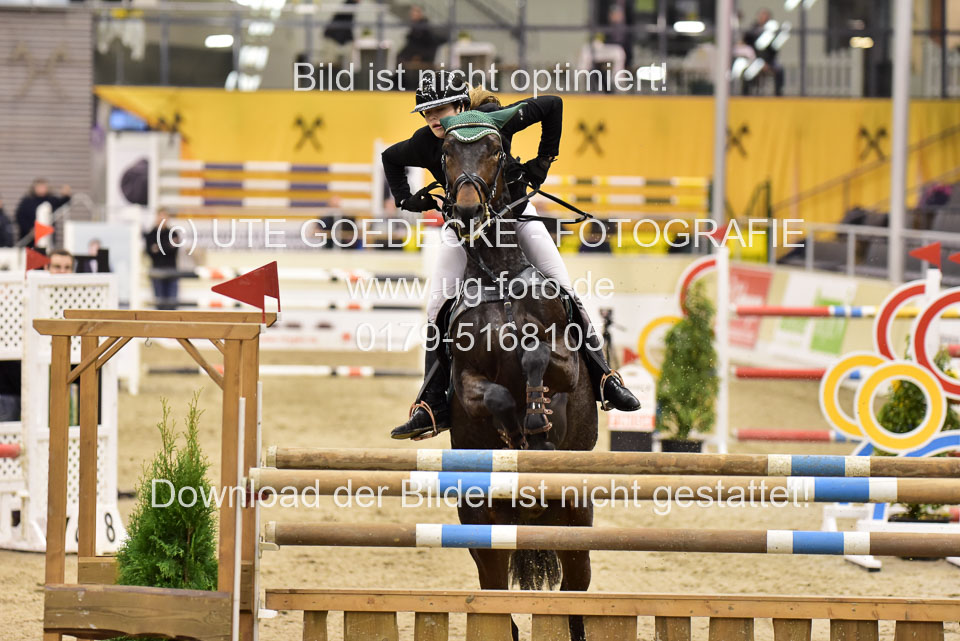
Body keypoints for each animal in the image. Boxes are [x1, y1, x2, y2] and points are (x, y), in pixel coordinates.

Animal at [439, 110, 599, 641]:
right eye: (445, 153)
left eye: (496, 151)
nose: (468, 210)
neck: (501, 278)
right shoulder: (465, 378)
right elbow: (492, 396)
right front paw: (516, 430)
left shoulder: (565, 364)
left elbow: (536, 359)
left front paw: (539, 422)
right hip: (481, 522)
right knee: (494, 595)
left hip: (575, 515)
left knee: (576, 591)